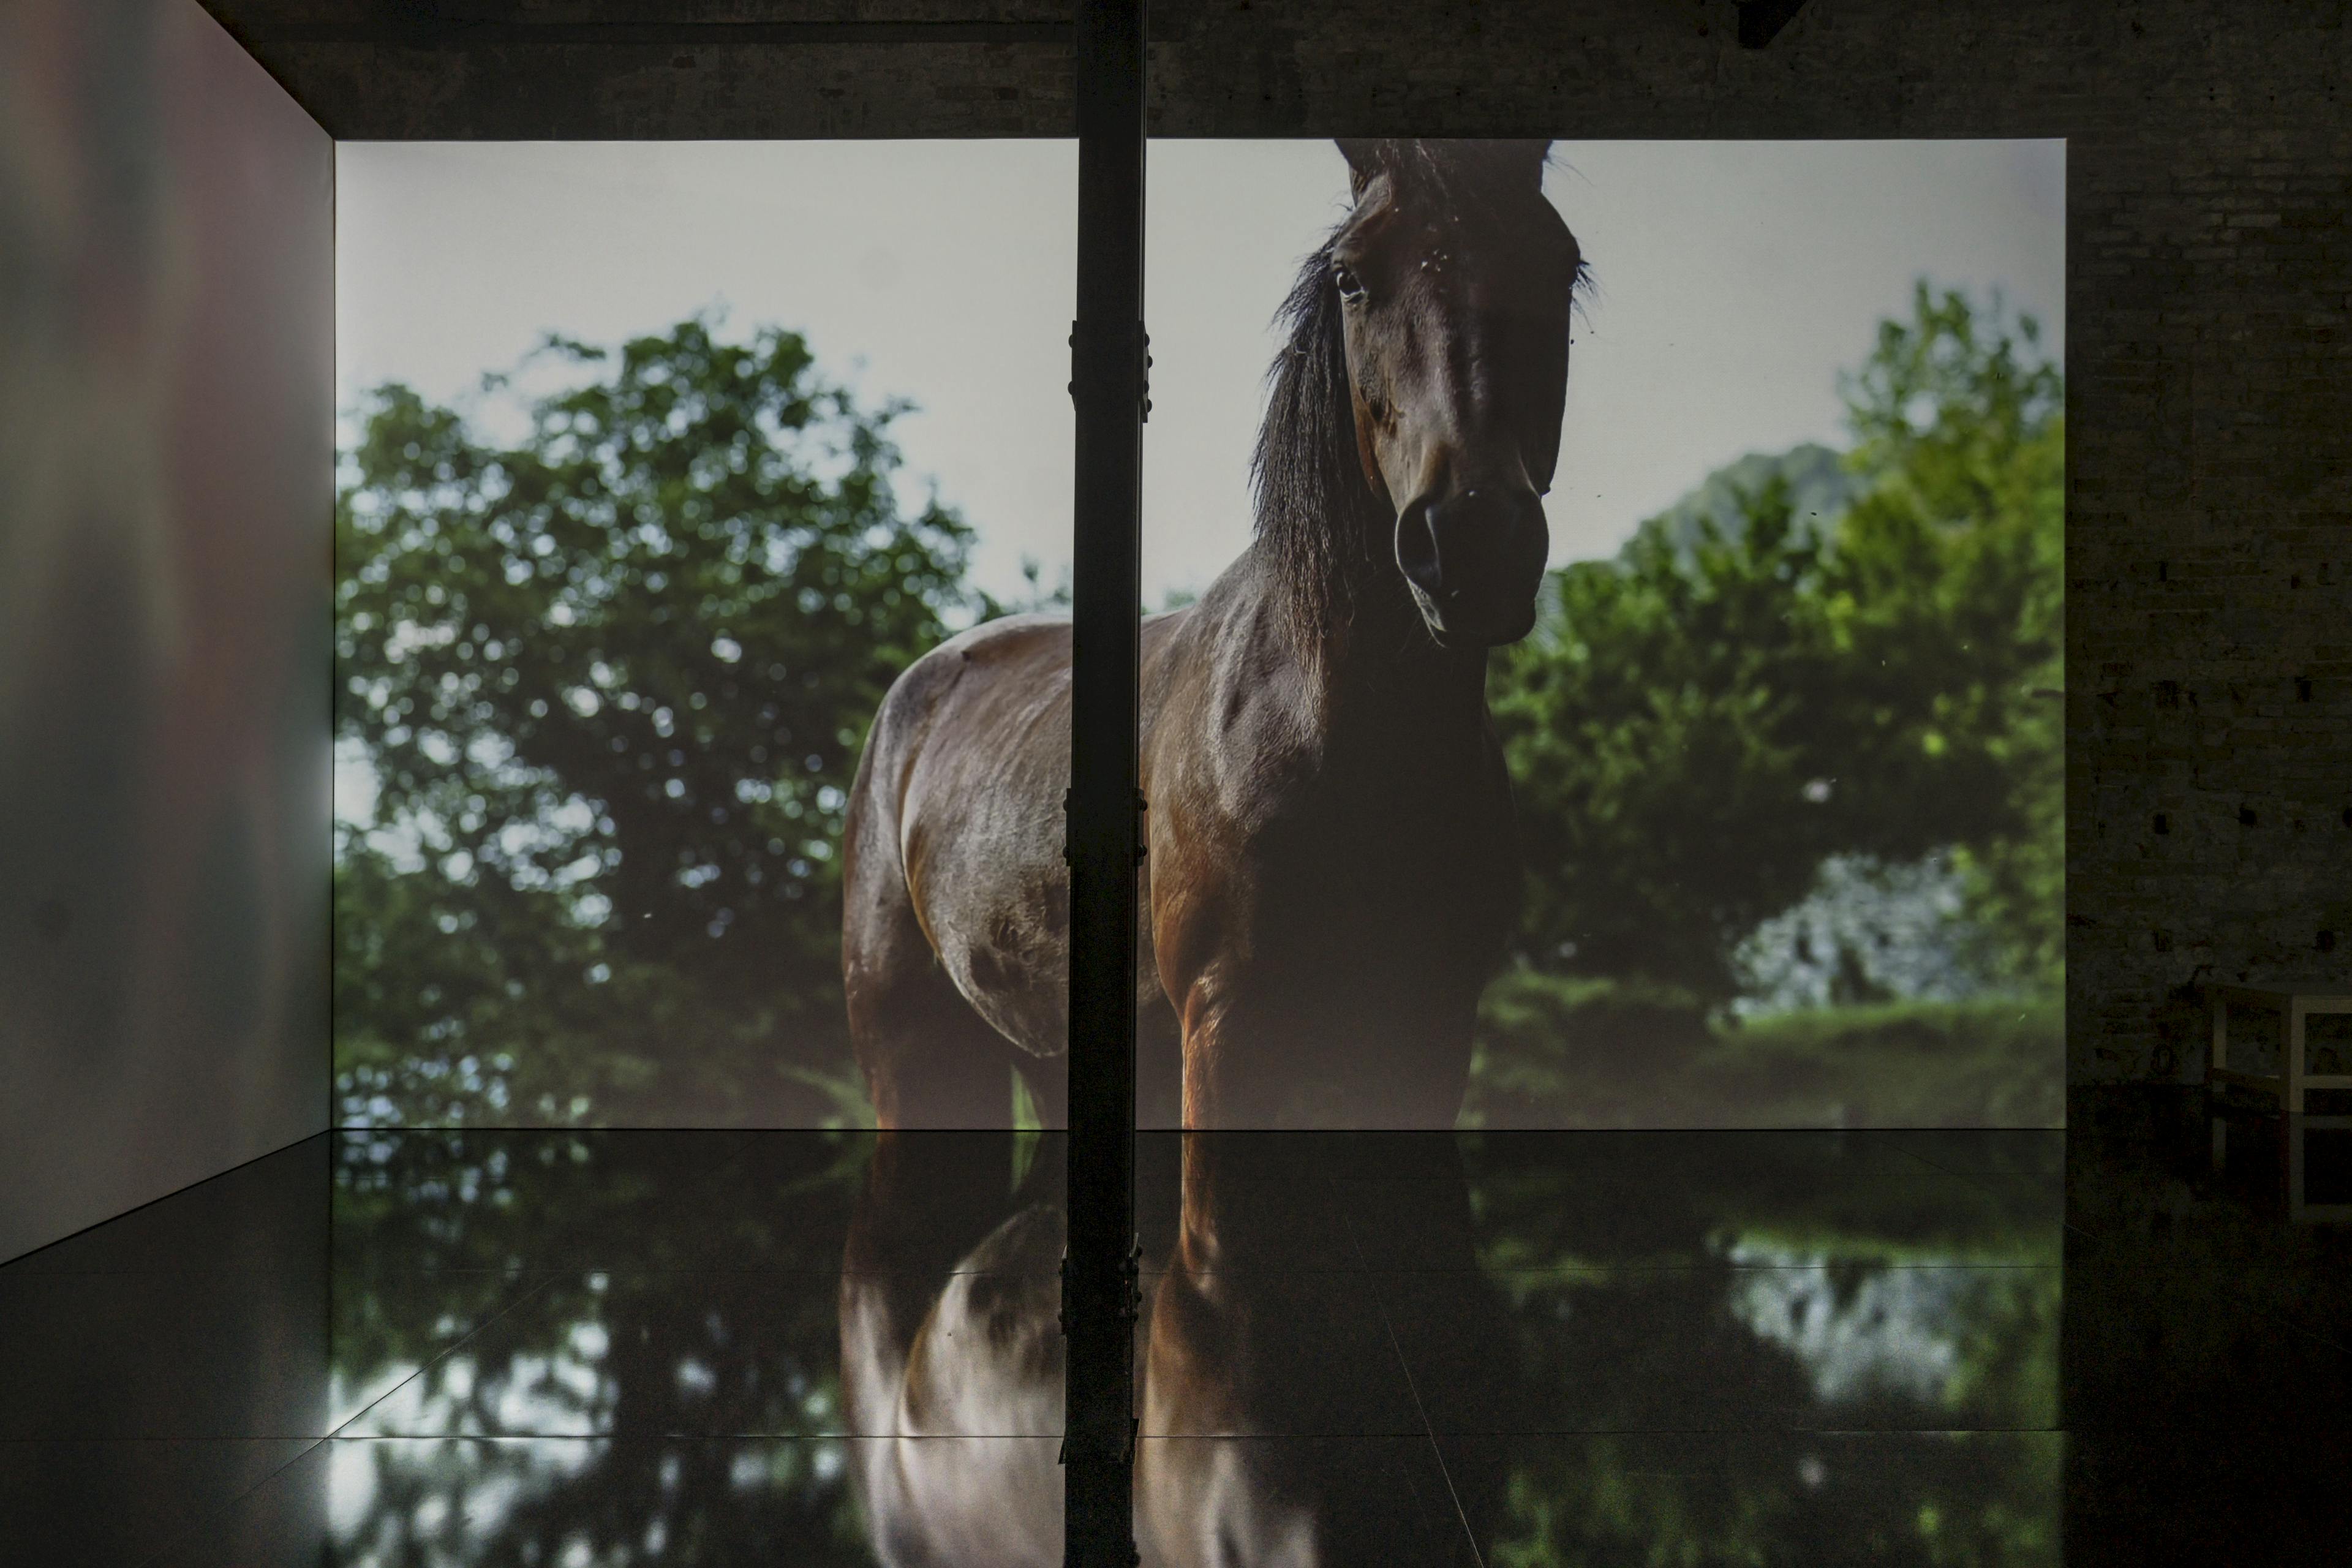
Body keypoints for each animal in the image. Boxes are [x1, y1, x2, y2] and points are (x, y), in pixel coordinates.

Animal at [837, 138, 1589, 1128]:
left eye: (1560, 264)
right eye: (1352, 277)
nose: (1471, 539)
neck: (1336, 725)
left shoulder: (1429, 1034)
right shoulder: (1230, 1025)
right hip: (915, 1057)